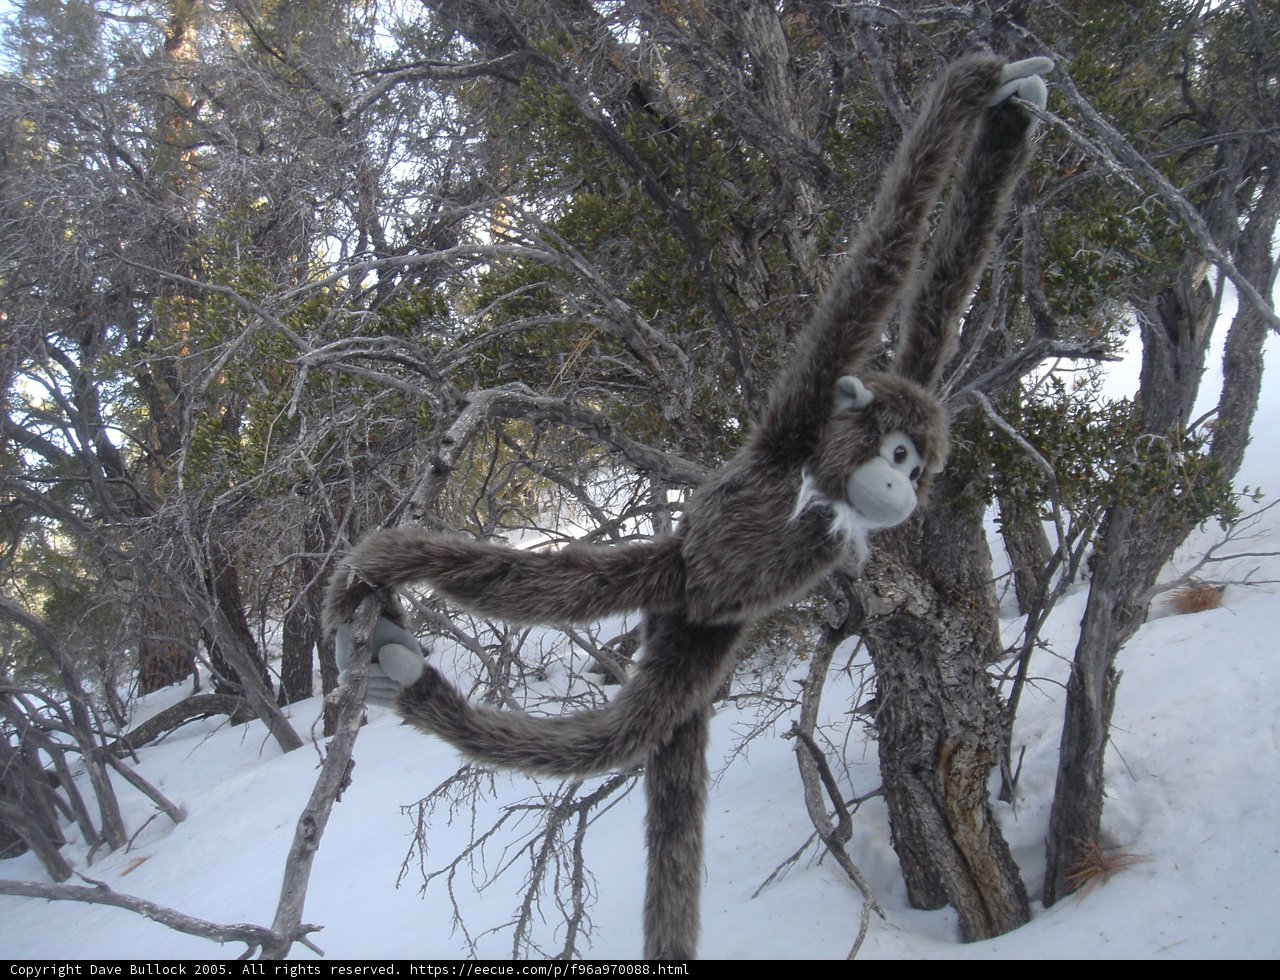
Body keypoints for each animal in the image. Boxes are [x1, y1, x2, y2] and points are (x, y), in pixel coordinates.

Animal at [326, 54, 1052, 959]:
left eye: (920, 472)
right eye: (897, 457)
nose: (903, 492)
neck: (821, 485)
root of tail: (684, 597)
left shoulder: (890, 396)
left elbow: (937, 310)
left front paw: (1012, 120)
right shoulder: (797, 417)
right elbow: (886, 260)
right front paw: (984, 89)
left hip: (704, 639)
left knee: (629, 731)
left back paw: (406, 674)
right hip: (664, 569)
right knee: (514, 583)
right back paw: (378, 585)